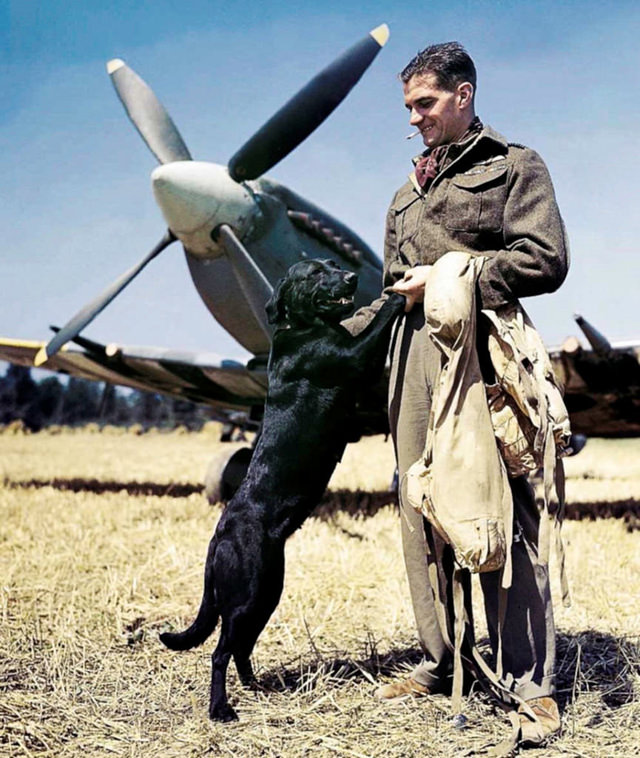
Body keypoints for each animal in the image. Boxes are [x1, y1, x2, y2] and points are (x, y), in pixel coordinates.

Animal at [160, 258, 402, 720]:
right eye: (314, 273)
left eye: (333, 265)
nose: (351, 278)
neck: (302, 327)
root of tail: (218, 538)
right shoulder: (353, 357)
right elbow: (380, 322)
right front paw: (397, 295)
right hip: (246, 597)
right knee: (219, 651)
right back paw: (221, 709)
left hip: (266, 595)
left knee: (240, 647)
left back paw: (256, 686)